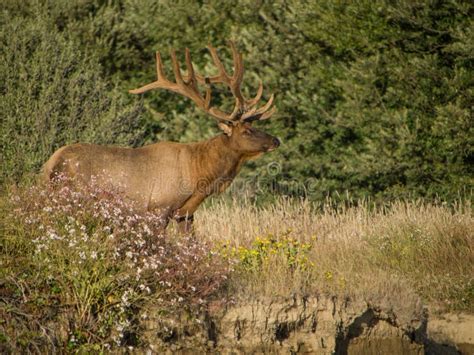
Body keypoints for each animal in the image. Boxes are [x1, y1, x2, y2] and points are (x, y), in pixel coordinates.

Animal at [42, 41, 280, 232]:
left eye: (254, 126)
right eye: (246, 131)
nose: (275, 140)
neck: (199, 175)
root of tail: (51, 165)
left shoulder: (186, 214)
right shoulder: (158, 208)